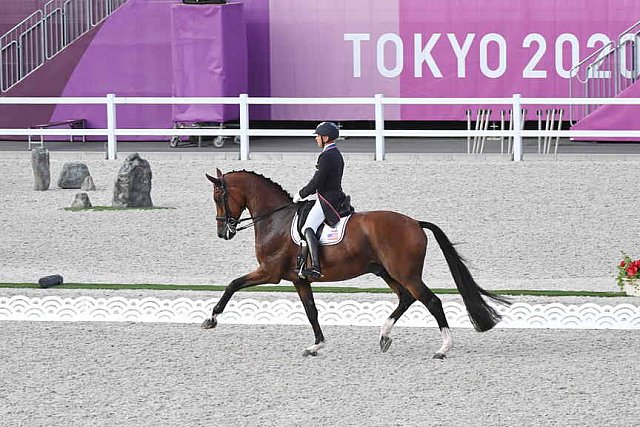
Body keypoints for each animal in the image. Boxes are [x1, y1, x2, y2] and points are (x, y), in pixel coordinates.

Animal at [202, 169, 508, 360]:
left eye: (218, 197)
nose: (222, 232)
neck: (275, 219)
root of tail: (415, 223)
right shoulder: (299, 279)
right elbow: (311, 312)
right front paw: (316, 346)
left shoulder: (270, 273)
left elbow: (232, 285)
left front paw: (211, 318)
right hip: (387, 272)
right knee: (406, 298)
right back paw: (384, 336)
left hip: (405, 273)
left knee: (431, 301)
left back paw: (443, 349)